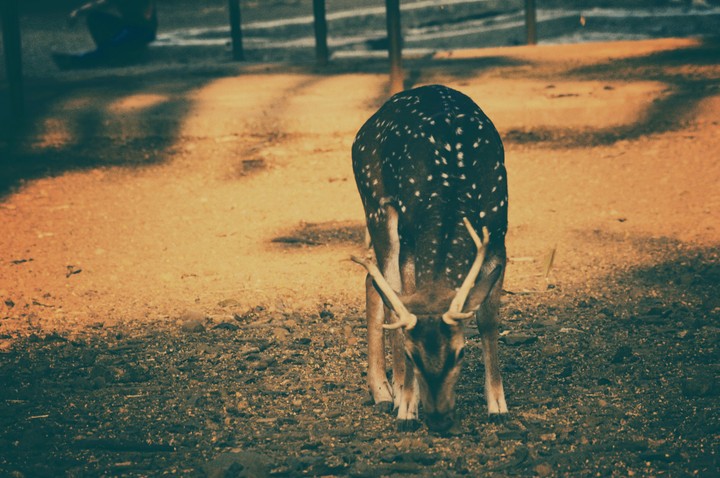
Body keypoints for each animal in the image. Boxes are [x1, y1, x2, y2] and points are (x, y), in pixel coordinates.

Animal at [350, 84, 508, 433]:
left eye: (460, 353)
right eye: (413, 356)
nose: (437, 417)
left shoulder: (498, 234)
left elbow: (488, 319)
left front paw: (498, 406)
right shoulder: (410, 237)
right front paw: (408, 407)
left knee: (372, 281)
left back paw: (383, 390)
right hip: (376, 203)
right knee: (383, 287)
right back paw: (389, 392)